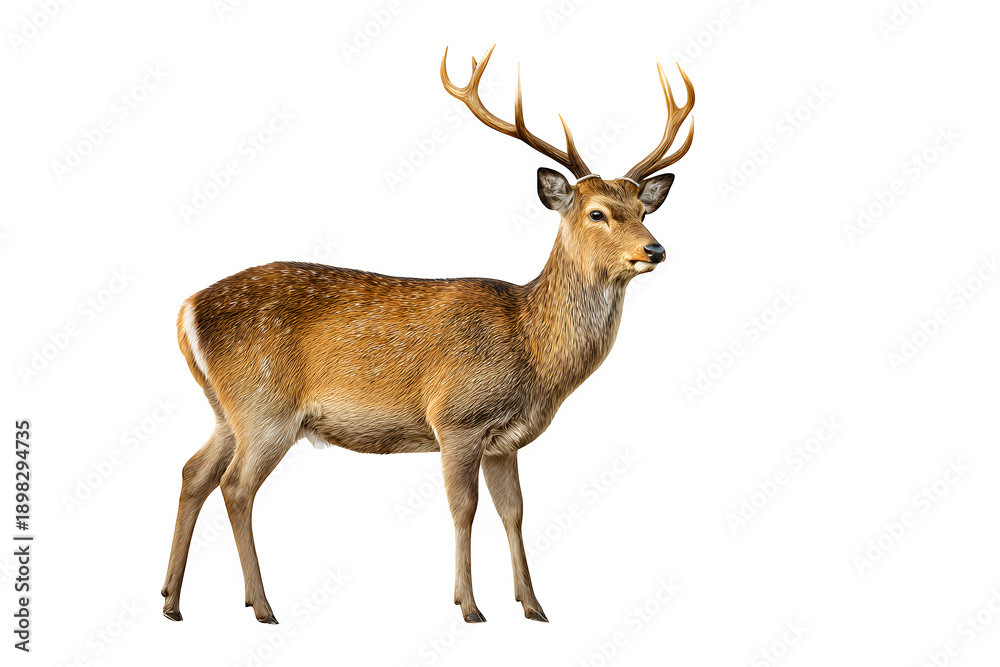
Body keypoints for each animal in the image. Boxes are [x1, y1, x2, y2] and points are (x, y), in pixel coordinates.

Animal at [161, 45, 694, 625]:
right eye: (597, 213)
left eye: (642, 209)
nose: (655, 249)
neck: (532, 351)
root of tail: (186, 310)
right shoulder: (456, 417)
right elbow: (465, 509)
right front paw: (469, 606)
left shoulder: (504, 441)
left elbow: (515, 512)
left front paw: (533, 606)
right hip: (265, 407)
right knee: (235, 486)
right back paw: (261, 605)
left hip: (226, 409)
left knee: (193, 471)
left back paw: (172, 601)